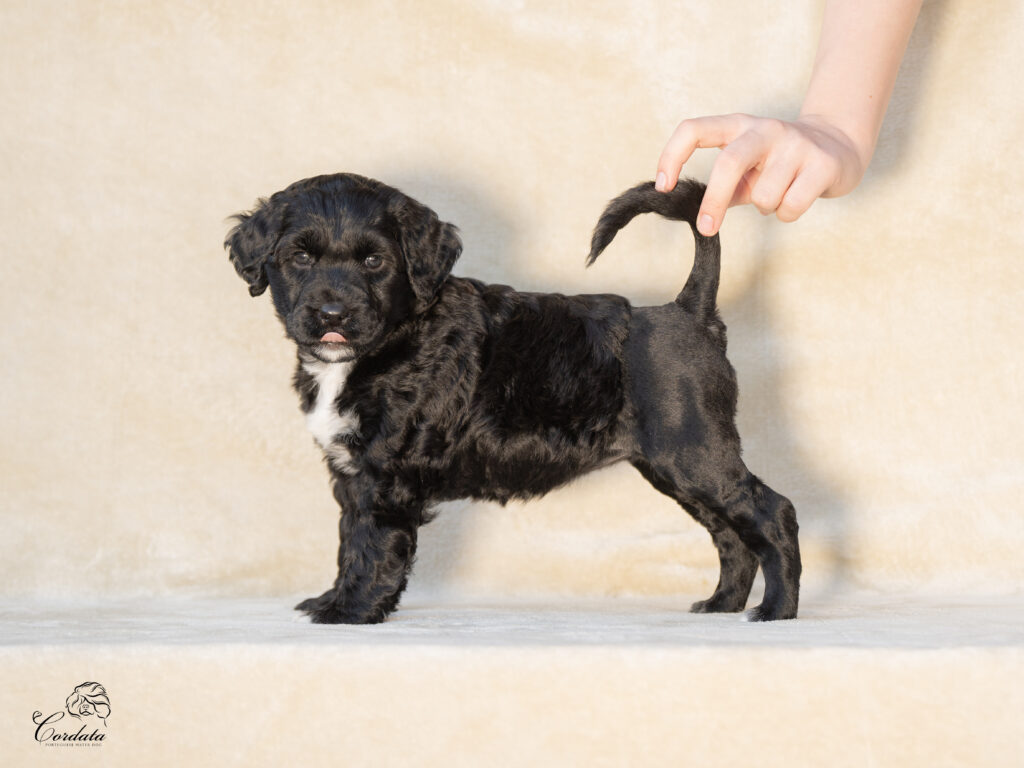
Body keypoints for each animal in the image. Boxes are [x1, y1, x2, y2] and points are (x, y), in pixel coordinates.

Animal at [224, 173, 801, 623]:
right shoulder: (350, 473)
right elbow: (349, 541)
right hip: (676, 467)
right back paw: (722, 603)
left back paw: (776, 611)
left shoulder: (381, 473)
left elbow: (371, 544)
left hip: (696, 450)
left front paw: (350, 611)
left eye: (373, 261)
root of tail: (689, 310)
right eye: (300, 256)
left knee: (772, 512)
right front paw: (333, 599)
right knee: (730, 533)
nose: (332, 315)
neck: (390, 341)